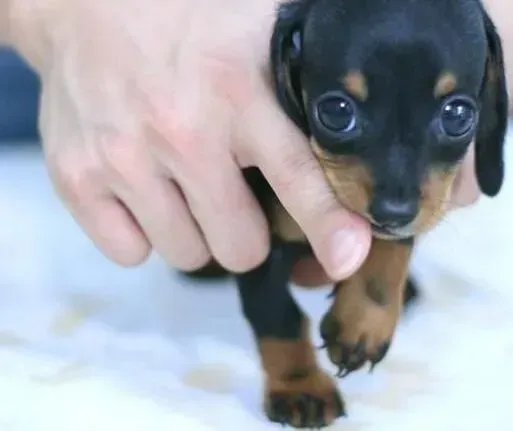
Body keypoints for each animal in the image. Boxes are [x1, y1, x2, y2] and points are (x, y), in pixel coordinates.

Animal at [232, 0, 508, 428]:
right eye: (335, 111)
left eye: (458, 115)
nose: (393, 212)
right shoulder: (256, 239)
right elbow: (276, 313)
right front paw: (301, 387)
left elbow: (391, 250)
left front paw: (362, 321)